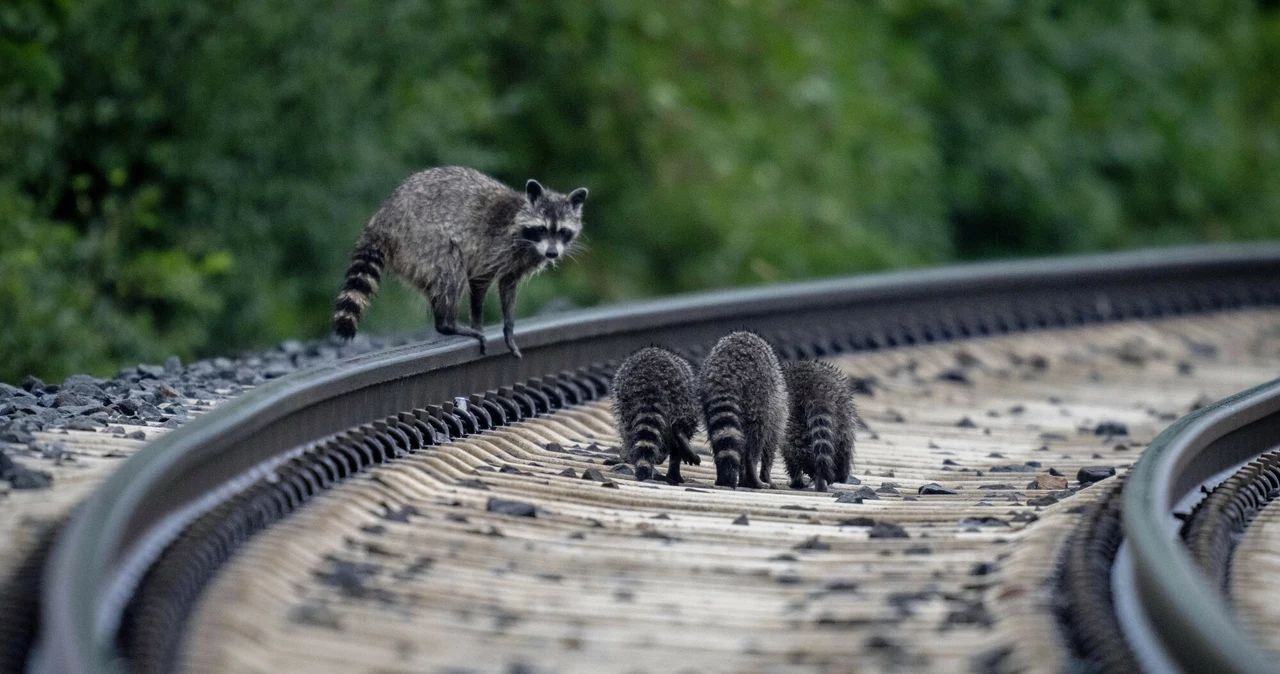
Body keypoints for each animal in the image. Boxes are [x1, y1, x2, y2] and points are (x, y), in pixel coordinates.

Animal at [330, 166, 588, 358]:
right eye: (542, 229)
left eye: (563, 231)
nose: (552, 253)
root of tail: (382, 219)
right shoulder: (495, 248)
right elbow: (479, 282)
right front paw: (478, 322)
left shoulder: (517, 262)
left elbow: (508, 286)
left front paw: (509, 328)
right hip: (422, 239)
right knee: (452, 272)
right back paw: (448, 324)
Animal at [609, 347, 701, 485]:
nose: (659, 459)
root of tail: (650, 384)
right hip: (682, 398)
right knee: (685, 424)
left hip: (627, 402)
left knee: (629, 431)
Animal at [696, 332, 783, 491]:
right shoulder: (777, 408)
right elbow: (769, 445)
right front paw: (766, 474)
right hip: (758, 394)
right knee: (756, 438)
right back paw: (753, 474)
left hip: (706, 392)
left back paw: (723, 476)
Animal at [773, 360, 855, 493]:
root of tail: (815, 388)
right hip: (844, 413)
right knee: (844, 445)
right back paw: (840, 474)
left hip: (791, 416)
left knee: (794, 450)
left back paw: (800, 479)